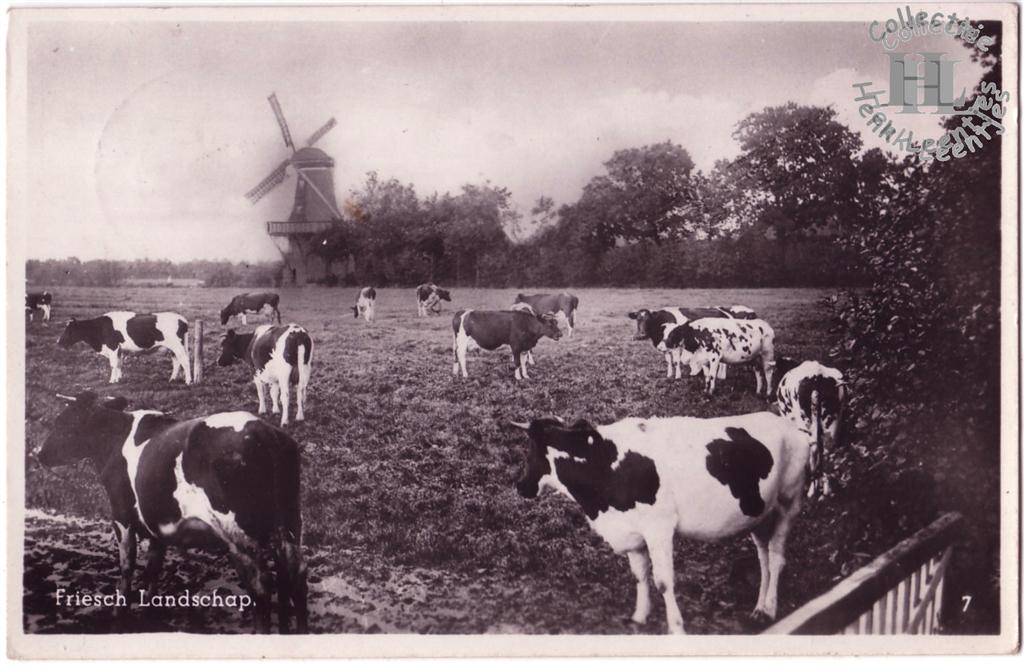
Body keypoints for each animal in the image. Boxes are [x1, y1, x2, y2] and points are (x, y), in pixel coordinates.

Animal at [36, 391, 307, 631]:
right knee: (294, 576)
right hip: (290, 522)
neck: (114, 439)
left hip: (240, 534)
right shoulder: (157, 524)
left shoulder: (121, 516)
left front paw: (119, 611)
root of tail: (263, 430)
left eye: (63, 422)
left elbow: (127, 565)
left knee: (261, 586)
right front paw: (150, 609)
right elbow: (152, 568)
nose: (38, 453)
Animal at [56, 311, 192, 383]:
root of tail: (182, 319)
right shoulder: (119, 350)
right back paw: (172, 379)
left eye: (69, 330)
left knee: (185, 361)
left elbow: (113, 365)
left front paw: (112, 381)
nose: (58, 342)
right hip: (172, 348)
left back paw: (188, 381)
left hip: (177, 346)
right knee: (176, 362)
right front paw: (118, 379)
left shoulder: (113, 347)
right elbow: (119, 364)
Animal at [512, 409, 806, 635]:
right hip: (759, 513)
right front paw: (639, 618)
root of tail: (792, 427)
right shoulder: (632, 534)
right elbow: (640, 576)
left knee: (777, 558)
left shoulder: (659, 528)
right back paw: (759, 608)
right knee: (764, 557)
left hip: (789, 501)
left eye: (530, 451)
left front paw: (676, 627)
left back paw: (770, 608)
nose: (520, 486)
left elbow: (663, 581)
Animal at [626, 305, 757, 379]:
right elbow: (669, 361)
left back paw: (721, 376)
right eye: (638, 319)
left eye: (649, 319)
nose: (642, 335)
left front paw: (677, 376)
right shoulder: (664, 345)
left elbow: (676, 361)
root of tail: (725, 312)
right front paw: (669, 375)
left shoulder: (676, 345)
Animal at [774, 360, 847, 495]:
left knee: (813, 448)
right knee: (827, 451)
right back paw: (826, 490)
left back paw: (811, 490)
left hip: (805, 423)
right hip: (832, 424)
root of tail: (817, 374)